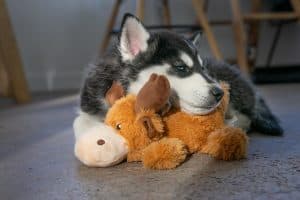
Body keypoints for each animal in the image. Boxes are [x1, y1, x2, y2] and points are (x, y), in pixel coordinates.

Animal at [77, 13, 282, 136]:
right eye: (181, 67)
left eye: (203, 68)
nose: (220, 93)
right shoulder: (88, 106)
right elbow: (81, 124)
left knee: (246, 117)